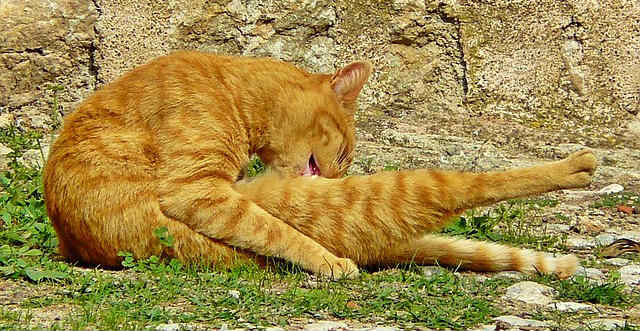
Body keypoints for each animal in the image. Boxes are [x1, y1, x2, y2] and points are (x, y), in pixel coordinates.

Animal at [42, 50, 596, 278]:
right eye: (345, 152)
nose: (337, 175)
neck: (232, 86)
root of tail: (77, 247)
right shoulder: (196, 188)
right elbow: (276, 232)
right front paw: (329, 264)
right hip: (305, 201)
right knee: (447, 187)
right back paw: (575, 166)